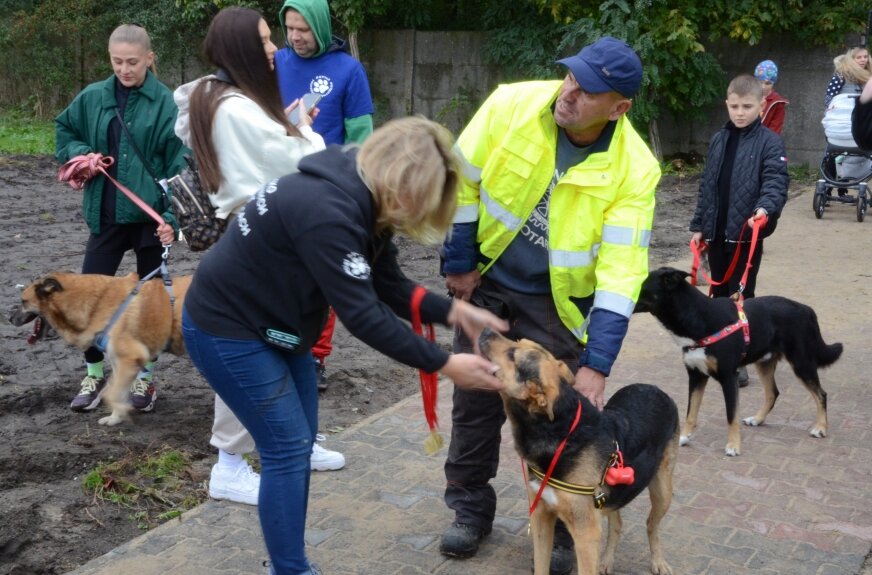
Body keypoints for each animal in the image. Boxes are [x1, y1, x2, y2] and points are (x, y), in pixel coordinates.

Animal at [8, 272, 191, 428]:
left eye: (23, 301)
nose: (9, 319)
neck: (96, 303)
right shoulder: (120, 363)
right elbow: (117, 392)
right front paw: (115, 418)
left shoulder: (129, 359)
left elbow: (112, 394)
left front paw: (123, 411)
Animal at [480, 328, 676, 575]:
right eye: (517, 341)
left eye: (512, 355)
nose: (486, 329)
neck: (562, 434)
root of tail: (655, 388)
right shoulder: (541, 518)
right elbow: (541, 566)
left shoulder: (585, 534)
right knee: (617, 523)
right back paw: (607, 561)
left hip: (662, 490)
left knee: (651, 524)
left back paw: (658, 562)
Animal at [632, 266, 844, 460]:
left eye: (640, 286)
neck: (699, 318)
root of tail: (806, 310)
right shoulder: (696, 375)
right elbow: (691, 413)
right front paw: (684, 437)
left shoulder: (728, 377)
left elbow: (730, 416)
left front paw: (733, 446)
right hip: (765, 363)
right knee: (773, 393)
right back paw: (757, 419)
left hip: (801, 362)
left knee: (821, 394)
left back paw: (820, 428)